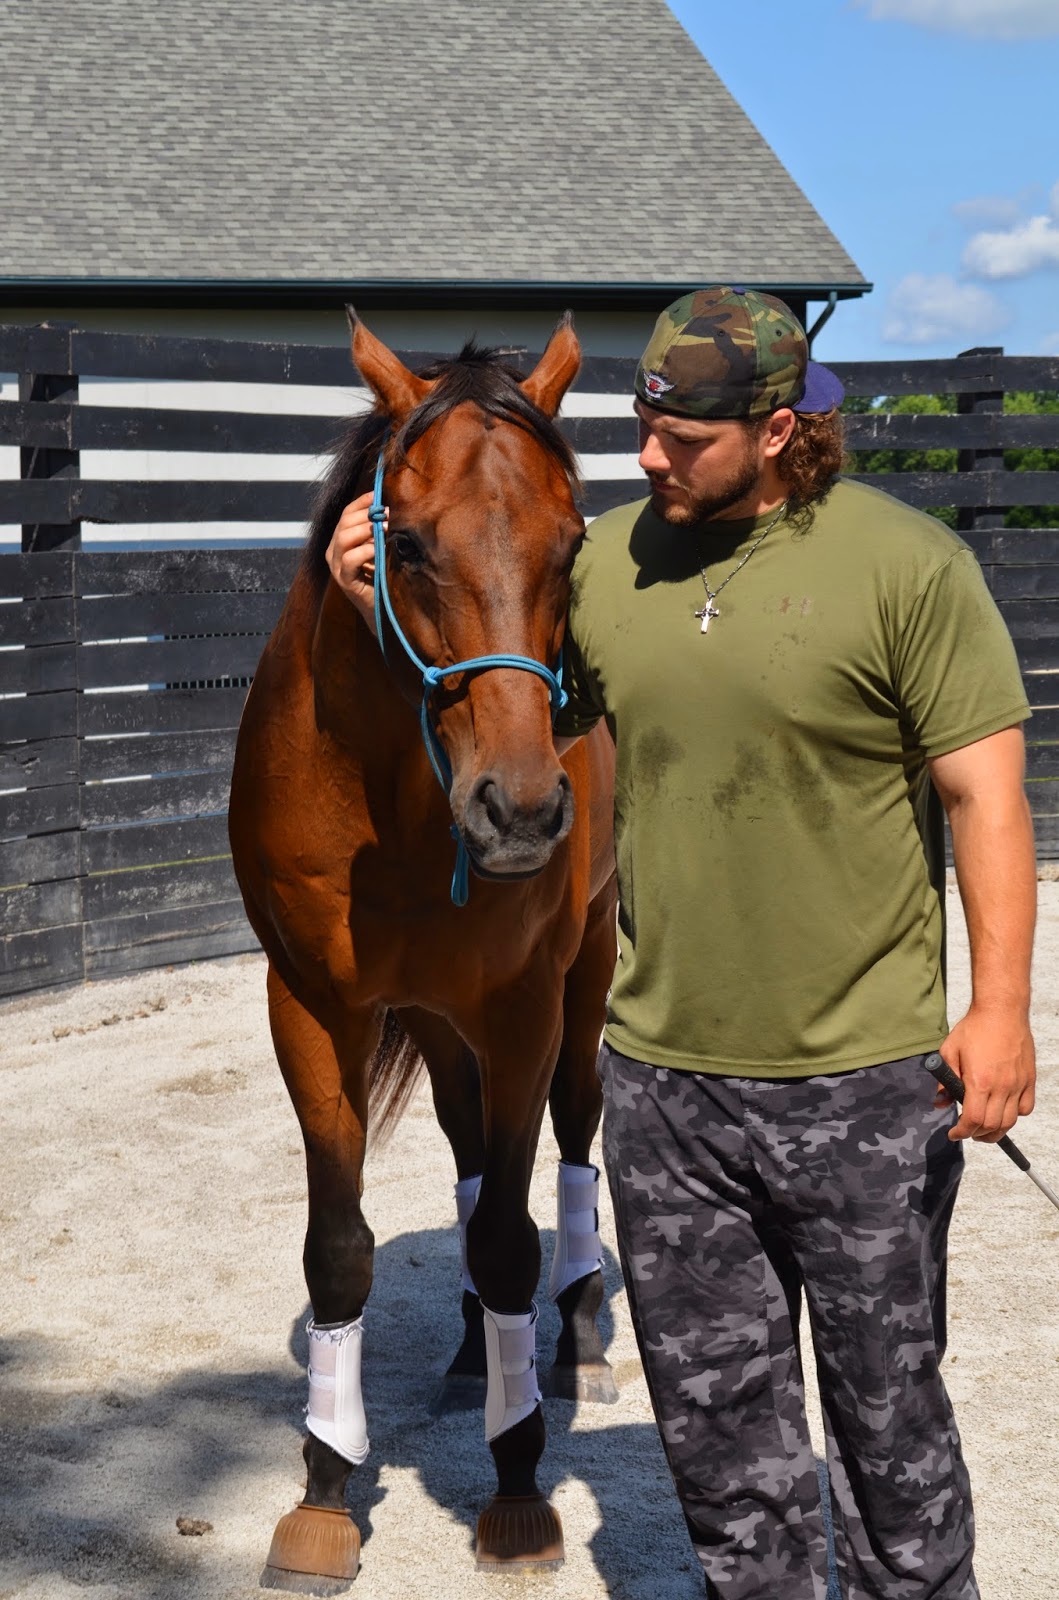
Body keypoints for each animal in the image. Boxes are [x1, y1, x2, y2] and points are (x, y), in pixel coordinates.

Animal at [228, 312, 618, 1589]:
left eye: (569, 545)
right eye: (405, 548)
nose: (523, 811)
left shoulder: (522, 1007)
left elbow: (507, 1239)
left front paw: (517, 1485)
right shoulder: (311, 1006)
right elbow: (340, 1249)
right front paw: (323, 1490)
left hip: (582, 980)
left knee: (575, 1132)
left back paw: (574, 1328)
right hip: (444, 1024)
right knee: (466, 1146)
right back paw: (465, 1353)